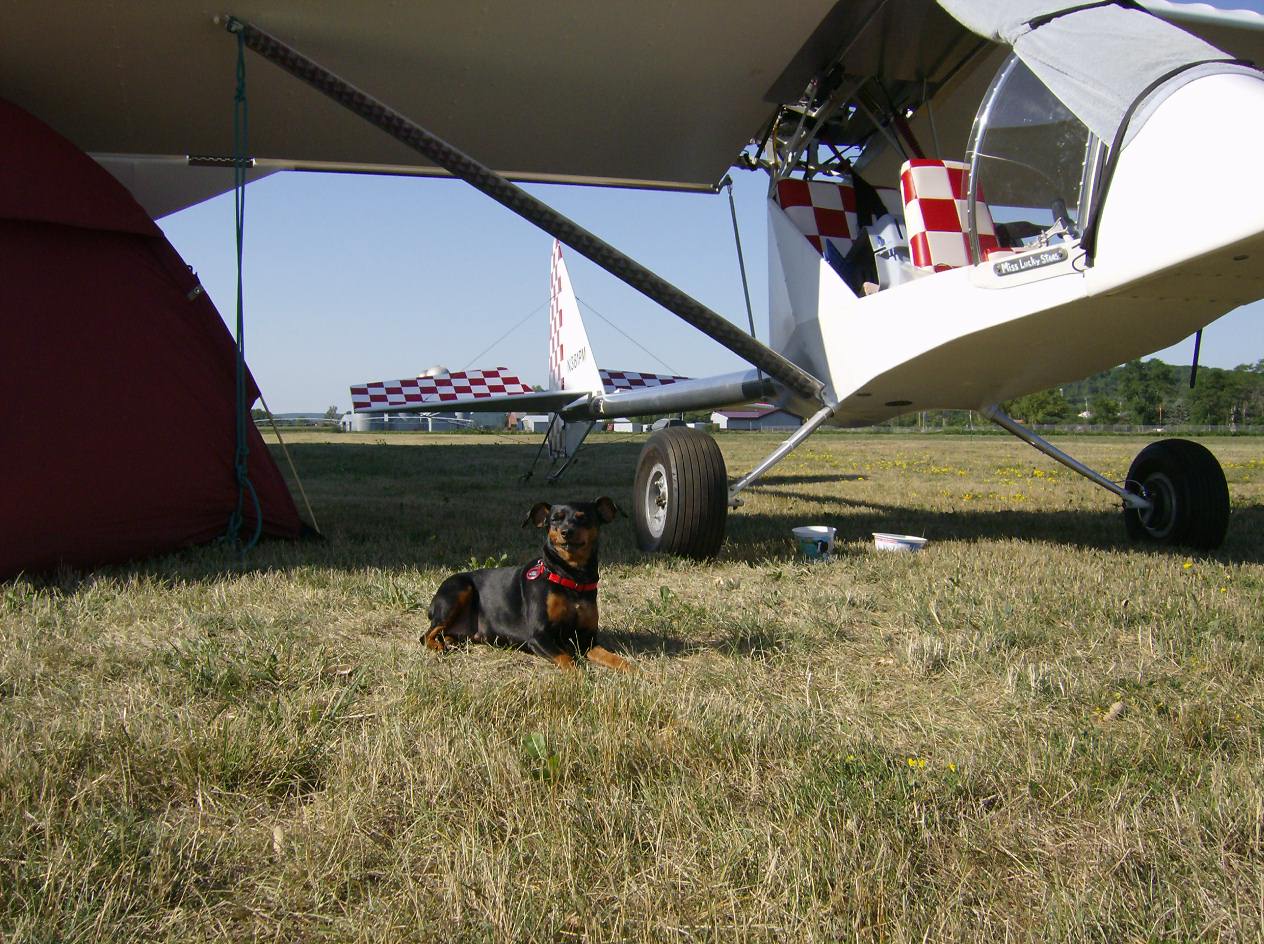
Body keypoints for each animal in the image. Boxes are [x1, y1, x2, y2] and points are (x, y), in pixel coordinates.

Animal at [423, 497, 630, 671]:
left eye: (583, 518)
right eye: (555, 519)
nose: (566, 532)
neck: (571, 578)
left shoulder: (587, 640)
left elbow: (614, 658)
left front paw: (635, 672)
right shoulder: (538, 635)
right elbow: (566, 658)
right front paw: (579, 676)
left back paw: (450, 642)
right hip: (459, 590)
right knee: (426, 635)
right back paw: (438, 646)